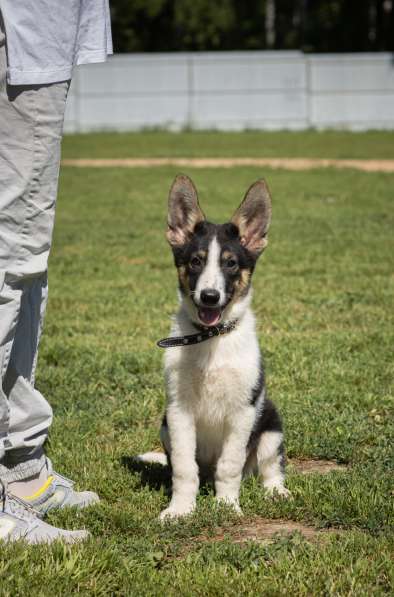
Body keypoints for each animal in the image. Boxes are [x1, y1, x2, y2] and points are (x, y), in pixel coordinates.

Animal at [139, 175, 290, 520]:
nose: (210, 297)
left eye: (231, 264)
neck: (210, 339)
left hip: (270, 426)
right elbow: (184, 469)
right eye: (195, 261)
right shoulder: (178, 412)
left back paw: (277, 492)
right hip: (165, 427)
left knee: (269, 467)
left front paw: (227, 506)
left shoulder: (243, 412)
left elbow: (229, 466)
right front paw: (180, 510)